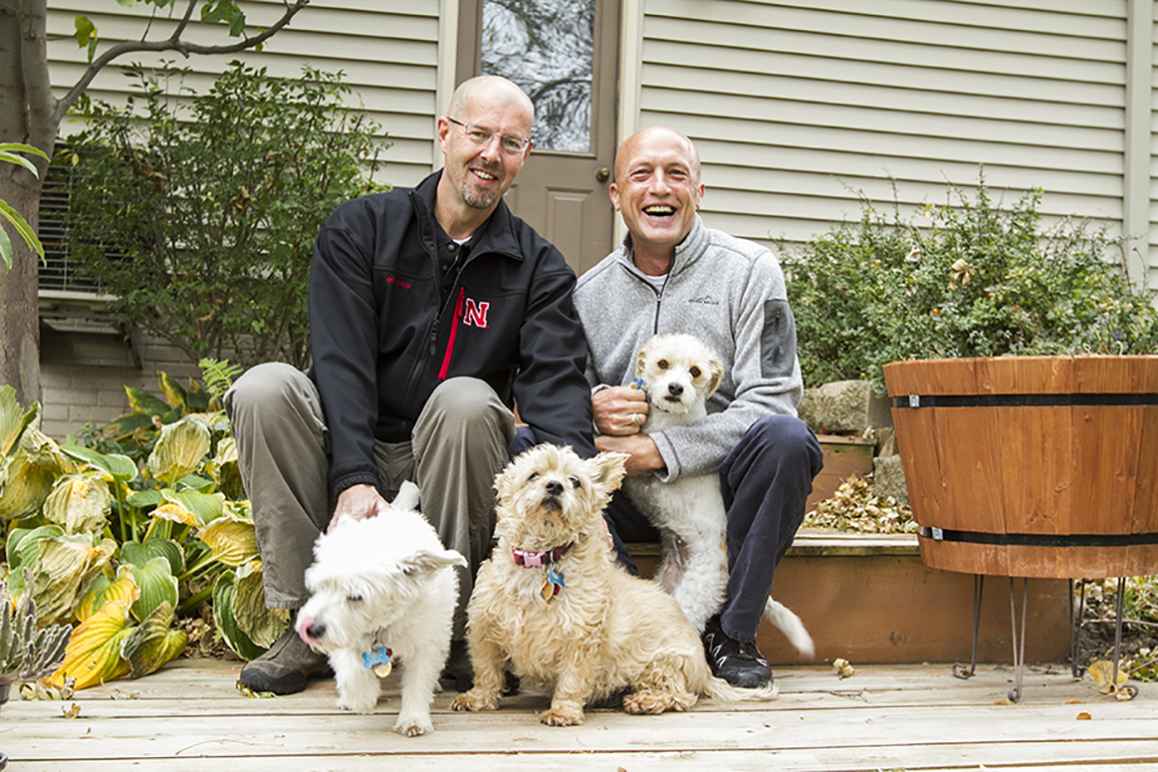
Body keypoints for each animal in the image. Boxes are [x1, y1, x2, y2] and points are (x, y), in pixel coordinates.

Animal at [296, 483, 467, 736]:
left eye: (356, 597)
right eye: (322, 585)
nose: (309, 629)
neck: (383, 625)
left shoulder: (427, 642)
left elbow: (419, 679)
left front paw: (413, 719)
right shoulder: (344, 638)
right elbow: (351, 667)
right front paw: (360, 697)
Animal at [625, 335, 815, 657]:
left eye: (695, 372)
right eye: (662, 363)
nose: (675, 388)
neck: (670, 417)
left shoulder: (646, 474)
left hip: (692, 599)